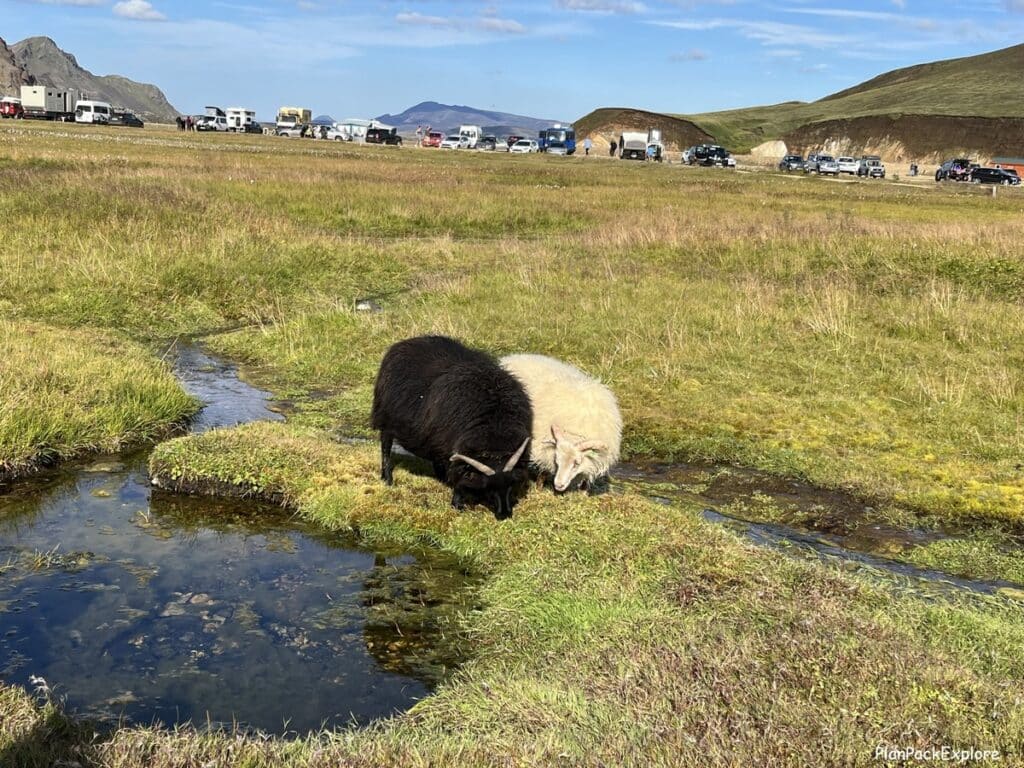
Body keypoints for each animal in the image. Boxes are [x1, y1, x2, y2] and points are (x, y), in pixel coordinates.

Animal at [371, 335, 533, 520]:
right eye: (488, 486)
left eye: (512, 483)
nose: (504, 514)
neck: (494, 428)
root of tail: (408, 341)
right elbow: (458, 478)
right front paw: (457, 504)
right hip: (386, 418)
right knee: (385, 446)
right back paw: (387, 478)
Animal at [500, 353, 622, 493]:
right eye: (557, 459)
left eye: (576, 463)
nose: (558, 485)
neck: (575, 431)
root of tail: (511, 357)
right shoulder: (544, 451)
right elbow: (543, 472)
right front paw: (539, 488)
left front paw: (583, 493)